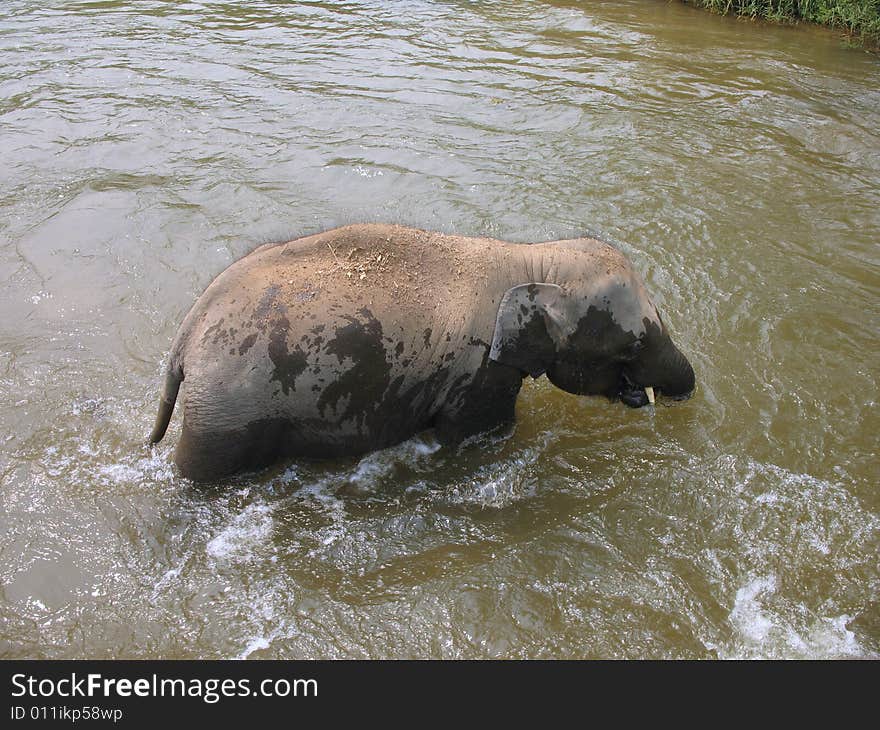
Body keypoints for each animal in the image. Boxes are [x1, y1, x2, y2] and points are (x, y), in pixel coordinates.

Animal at [150, 225, 696, 480]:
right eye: (634, 343)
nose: (680, 395)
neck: (531, 259)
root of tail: (186, 336)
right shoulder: (479, 375)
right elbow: (482, 434)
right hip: (226, 414)